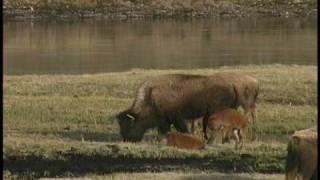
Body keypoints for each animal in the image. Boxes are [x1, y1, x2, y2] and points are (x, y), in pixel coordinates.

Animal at [116, 72, 258, 141]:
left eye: (130, 125)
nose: (127, 139)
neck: (150, 97)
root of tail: (232, 85)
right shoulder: (164, 120)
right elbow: (164, 130)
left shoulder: (176, 117)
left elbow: (182, 128)